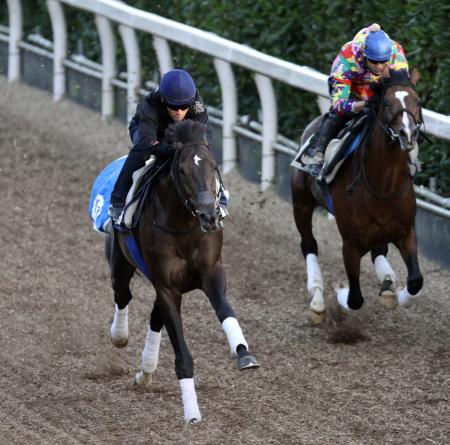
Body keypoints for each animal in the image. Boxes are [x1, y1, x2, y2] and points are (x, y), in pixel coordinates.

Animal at [104, 120, 256, 424]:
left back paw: (145, 371)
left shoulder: (211, 273)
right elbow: (182, 353)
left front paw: (243, 353)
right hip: (122, 261)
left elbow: (226, 311)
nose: (210, 216)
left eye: (213, 165)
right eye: (183, 170)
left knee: (154, 317)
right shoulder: (167, 286)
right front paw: (192, 412)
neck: (184, 226)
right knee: (122, 294)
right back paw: (120, 336)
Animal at [290, 68, 424, 322]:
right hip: (301, 202)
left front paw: (394, 292)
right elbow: (354, 299)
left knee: (379, 250)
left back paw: (387, 282)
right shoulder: (350, 244)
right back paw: (317, 302)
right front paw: (339, 293)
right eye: (387, 103)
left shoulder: (406, 231)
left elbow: (415, 282)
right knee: (309, 245)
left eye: (418, 101)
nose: (407, 134)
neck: (384, 184)